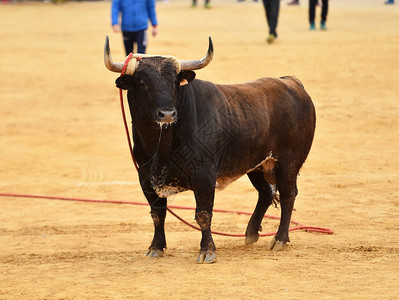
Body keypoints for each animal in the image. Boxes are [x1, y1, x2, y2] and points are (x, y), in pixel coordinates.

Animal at [104, 36, 318, 264]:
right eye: (143, 83)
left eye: (173, 83)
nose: (168, 114)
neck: (161, 143)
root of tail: (292, 83)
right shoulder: (145, 177)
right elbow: (158, 213)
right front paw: (156, 247)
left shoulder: (203, 175)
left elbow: (203, 214)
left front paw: (207, 251)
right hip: (256, 164)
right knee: (266, 192)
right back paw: (251, 233)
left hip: (288, 162)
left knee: (288, 194)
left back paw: (279, 239)